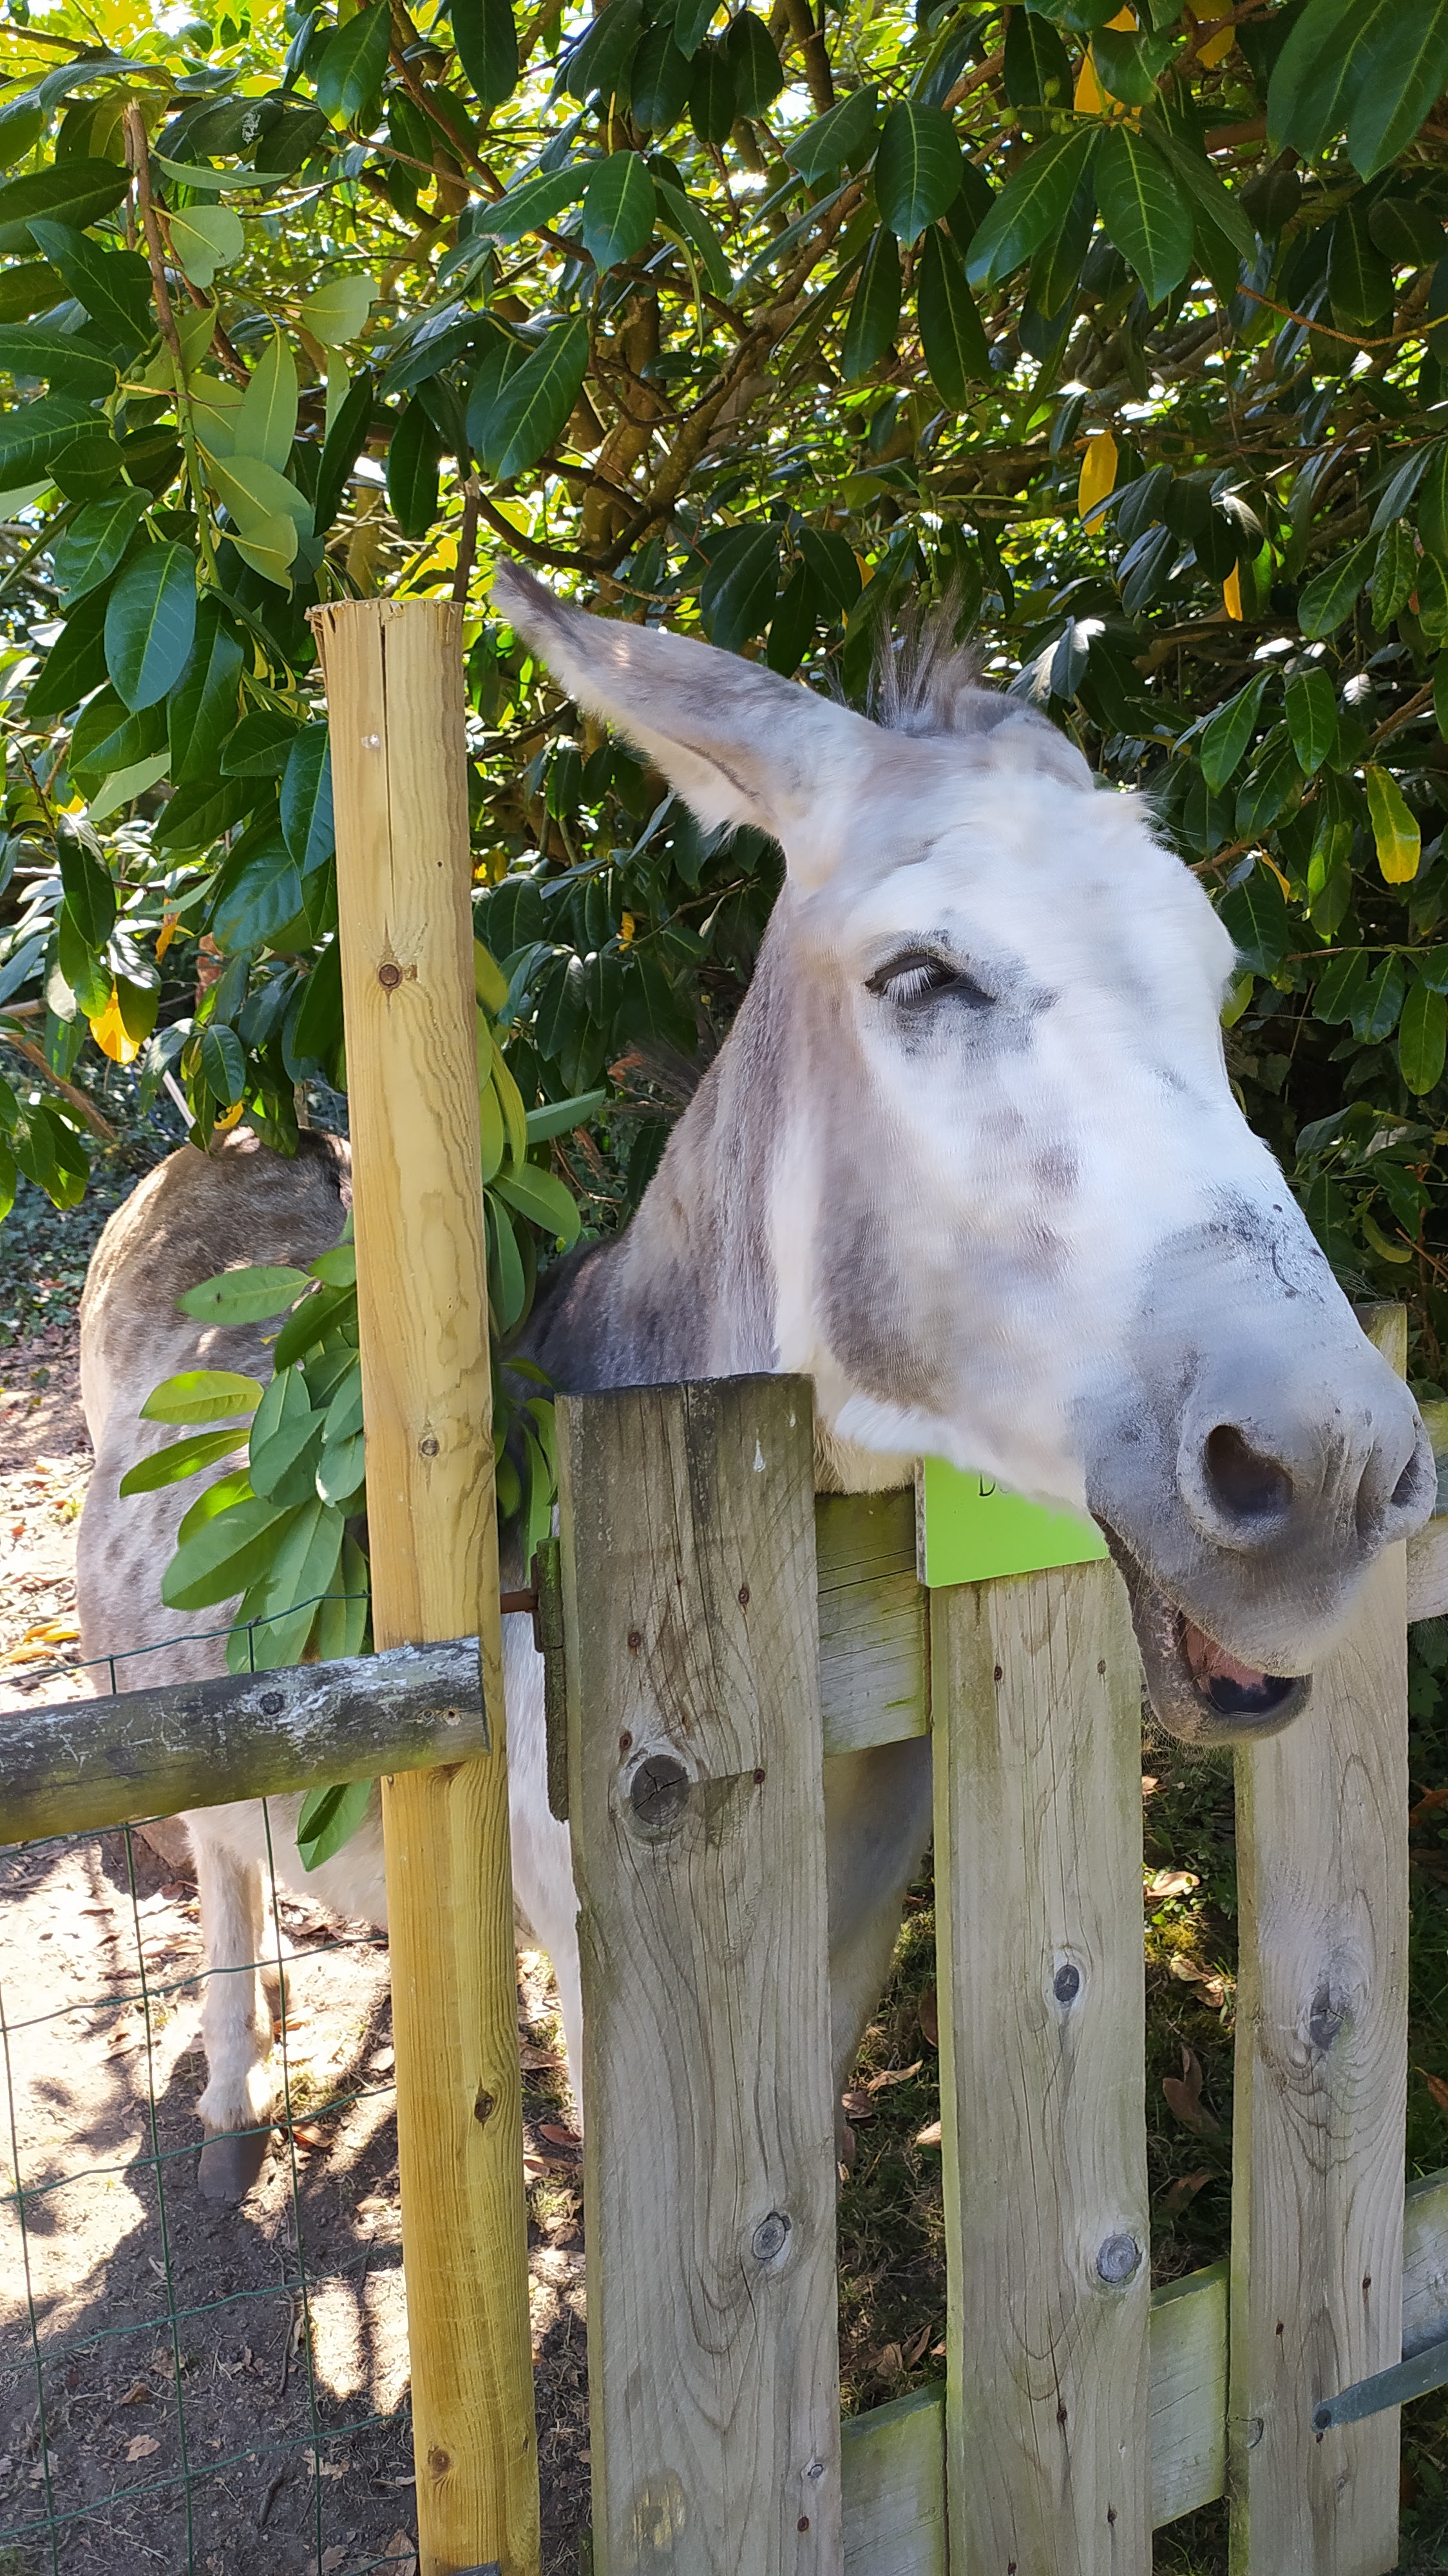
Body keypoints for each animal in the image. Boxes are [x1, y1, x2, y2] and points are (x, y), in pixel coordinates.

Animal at [75, 563, 1435, 2197]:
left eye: (1220, 987)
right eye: (919, 975)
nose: (1335, 1470)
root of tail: (220, 1130)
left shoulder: (845, 1946)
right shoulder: (610, 1973)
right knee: (220, 1873)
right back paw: (231, 2093)